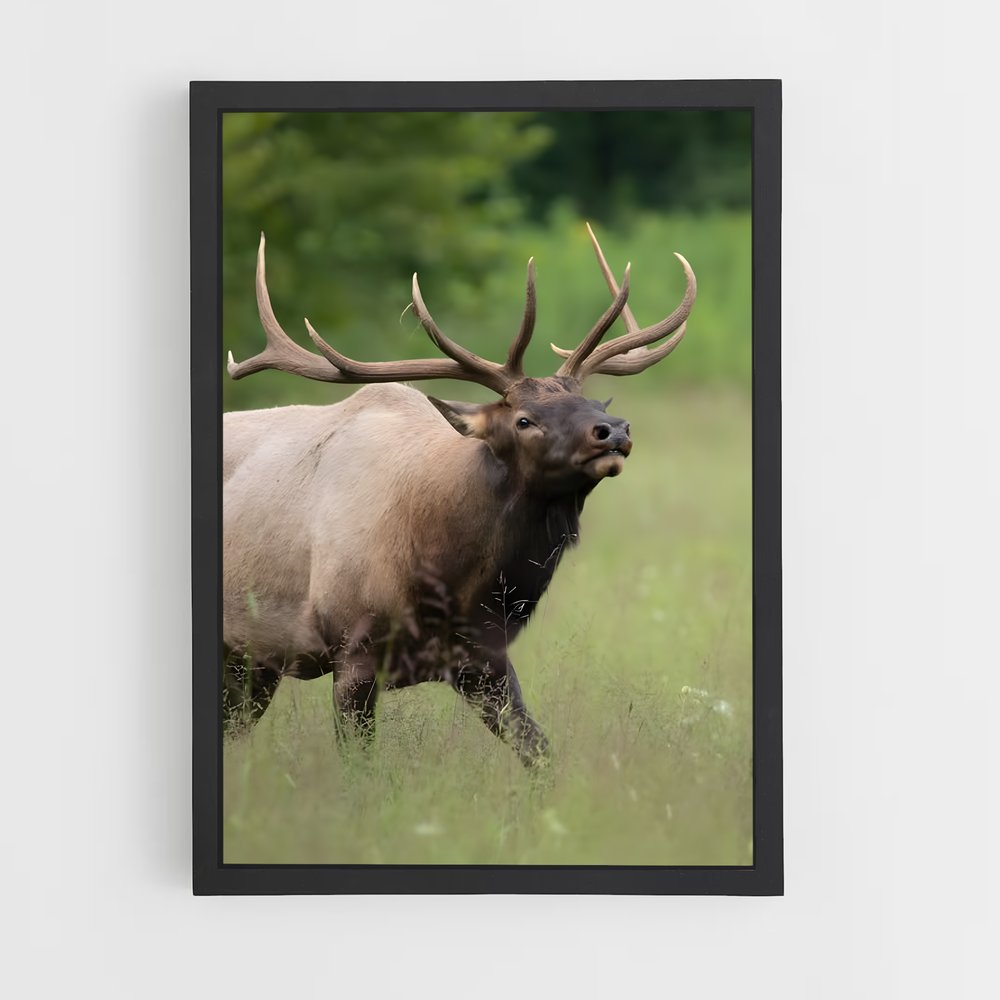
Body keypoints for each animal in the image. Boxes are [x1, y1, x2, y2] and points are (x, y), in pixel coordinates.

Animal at [223, 224, 696, 767]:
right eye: (524, 419)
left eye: (593, 402)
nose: (613, 430)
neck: (449, 577)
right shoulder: (353, 650)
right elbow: (359, 771)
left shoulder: (482, 658)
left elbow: (539, 753)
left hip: (253, 662)